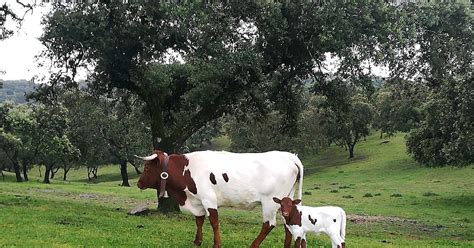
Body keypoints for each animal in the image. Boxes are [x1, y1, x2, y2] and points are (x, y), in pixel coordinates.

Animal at [136, 149, 304, 248]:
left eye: (146, 168)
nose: (138, 183)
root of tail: (290, 156)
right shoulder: (198, 200)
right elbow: (199, 220)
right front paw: (197, 241)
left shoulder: (208, 199)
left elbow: (214, 221)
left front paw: (216, 244)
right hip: (285, 201)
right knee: (287, 225)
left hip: (270, 202)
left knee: (269, 225)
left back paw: (253, 245)